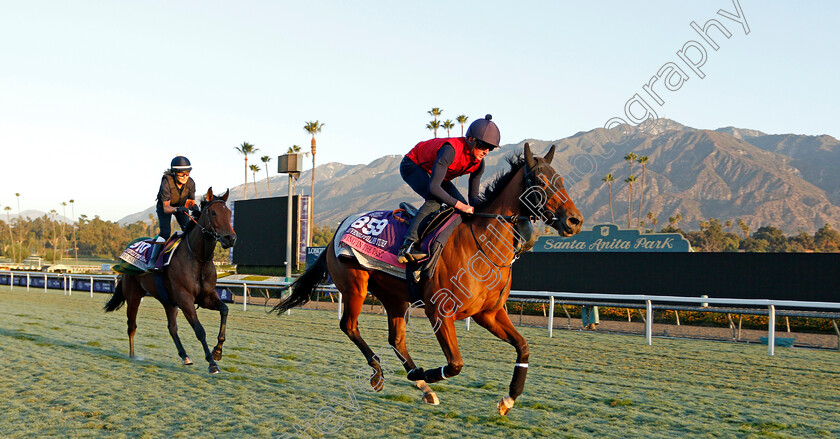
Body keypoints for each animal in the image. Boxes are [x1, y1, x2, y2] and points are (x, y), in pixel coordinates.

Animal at [106, 187, 236, 372]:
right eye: (213, 212)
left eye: (229, 212)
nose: (230, 238)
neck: (199, 259)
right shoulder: (185, 298)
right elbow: (199, 330)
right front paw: (212, 363)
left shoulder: (206, 297)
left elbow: (224, 309)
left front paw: (217, 351)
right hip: (133, 296)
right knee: (132, 325)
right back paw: (132, 356)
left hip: (167, 300)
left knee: (172, 328)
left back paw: (185, 356)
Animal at [272, 145, 580, 416]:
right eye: (540, 181)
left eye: (562, 180)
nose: (574, 220)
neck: (482, 245)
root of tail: (337, 231)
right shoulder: (440, 312)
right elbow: (455, 364)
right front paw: (426, 373)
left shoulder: (489, 313)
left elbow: (523, 347)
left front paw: (508, 400)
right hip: (354, 286)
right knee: (349, 326)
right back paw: (382, 374)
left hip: (394, 297)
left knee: (396, 339)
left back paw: (422, 385)